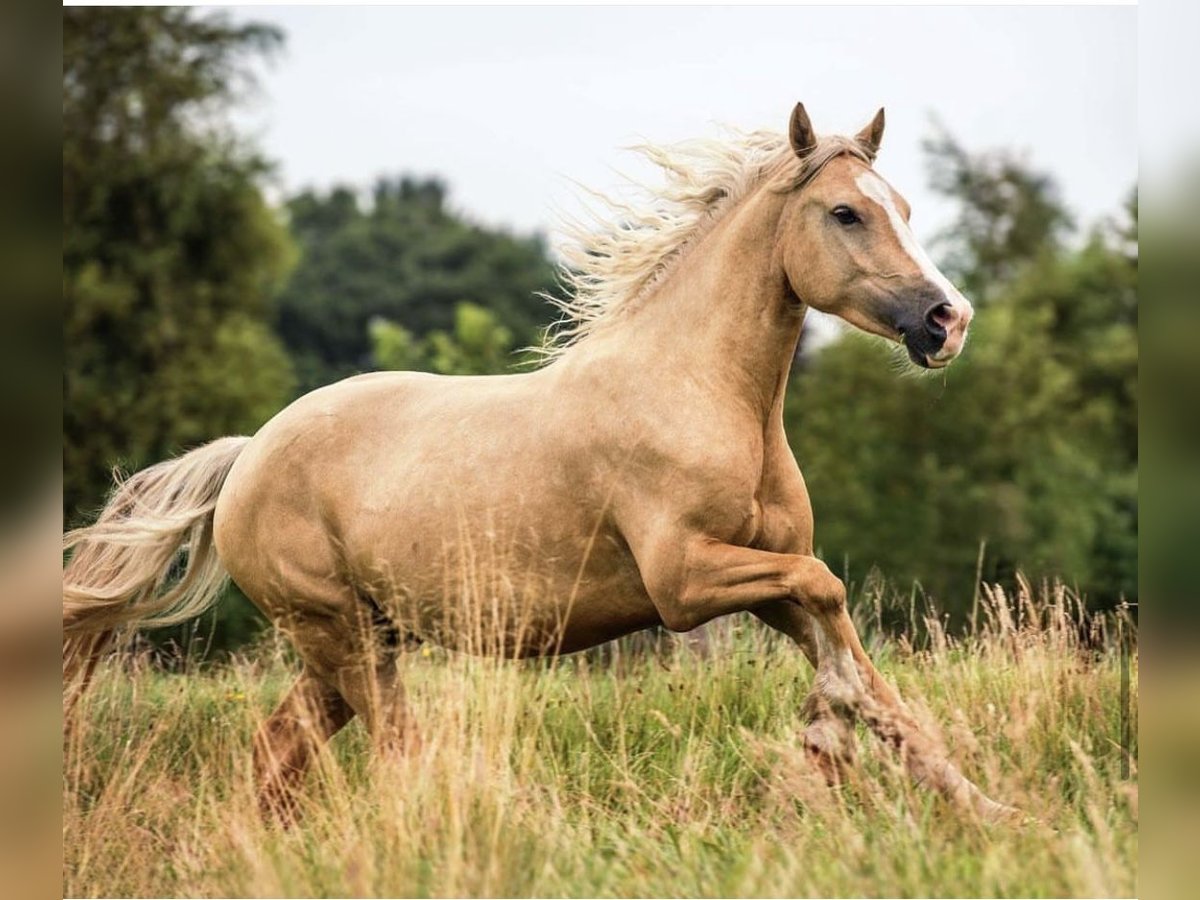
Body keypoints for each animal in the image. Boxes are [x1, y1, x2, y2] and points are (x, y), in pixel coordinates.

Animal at [60, 103, 1008, 825]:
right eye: (846, 213)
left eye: (906, 207)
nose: (948, 320)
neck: (703, 393)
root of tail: (248, 454)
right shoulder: (685, 581)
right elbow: (829, 595)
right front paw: (826, 734)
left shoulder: (763, 581)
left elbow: (862, 664)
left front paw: (982, 806)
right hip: (345, 638)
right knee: (394, 753)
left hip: (350, 642)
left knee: (275, 756)